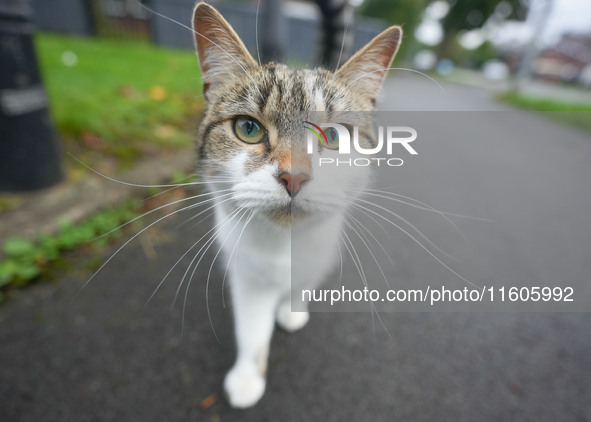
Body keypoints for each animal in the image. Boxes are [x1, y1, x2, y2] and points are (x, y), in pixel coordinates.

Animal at [190, 0, 402, 408]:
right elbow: (251, 330)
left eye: (333, 135)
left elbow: (301, 285)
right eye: (248, 128)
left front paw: (290, 311)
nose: (294, 177)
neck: (283, 246)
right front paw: (247, 378)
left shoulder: (319, 254)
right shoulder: (247, 274)